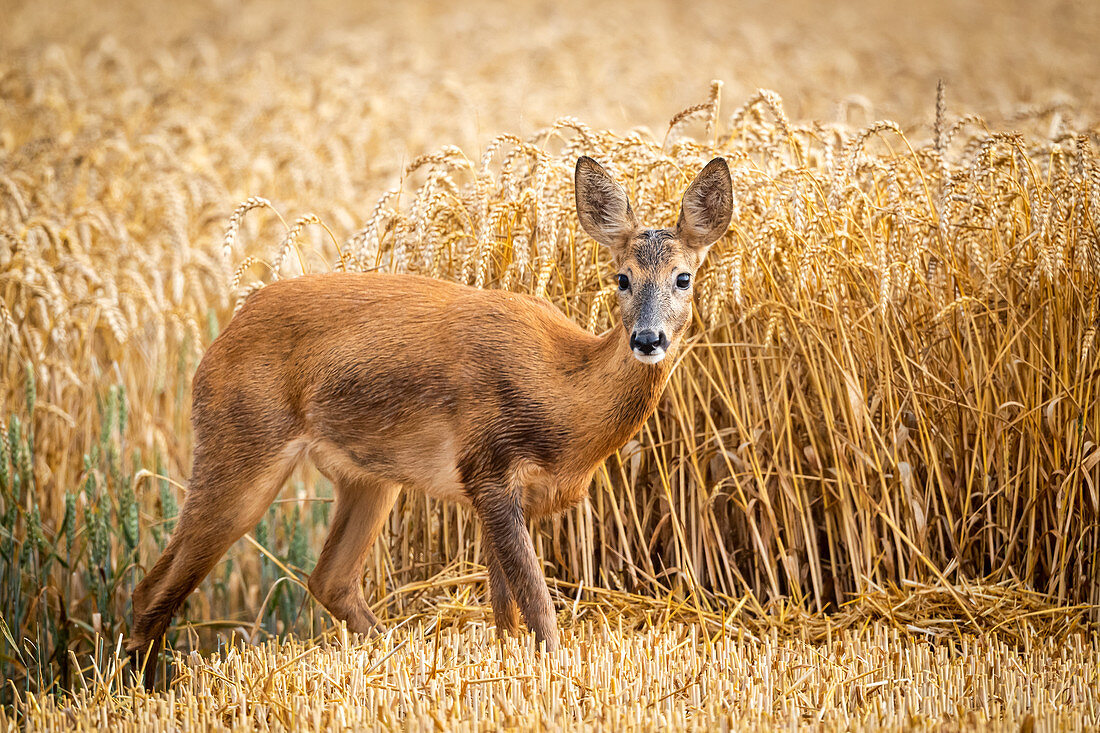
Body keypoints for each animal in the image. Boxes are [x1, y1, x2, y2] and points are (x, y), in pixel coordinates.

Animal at [126, 154, 730, 686]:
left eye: (683, 278)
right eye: (621, 278)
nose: (647, 339)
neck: (565, 398)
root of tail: (218, 340)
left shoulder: (503, 494)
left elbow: (507, 613)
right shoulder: (487, 467)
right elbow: (538, 608)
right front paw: (555, 675)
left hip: (367, 477)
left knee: (329, 578)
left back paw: (388, 655)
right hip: (240, 444)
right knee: (155, 585)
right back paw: (139, 689)